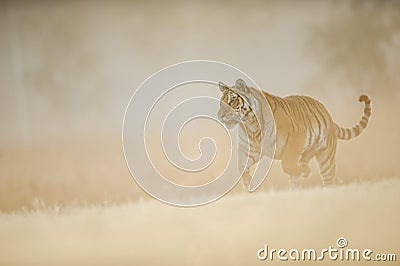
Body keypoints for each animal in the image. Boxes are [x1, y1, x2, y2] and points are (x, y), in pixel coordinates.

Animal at [219, 78, 372, 190]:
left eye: (232, 101)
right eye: (221, 103)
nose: (219, 115)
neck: (250, 124)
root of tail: (330, 117)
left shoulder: (296, 137)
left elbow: (286, 165)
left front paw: (306, 171)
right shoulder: (249, 149)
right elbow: (241, 167)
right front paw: (248, 186)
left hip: (326, 157)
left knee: (328, 177)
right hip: (308, 153)